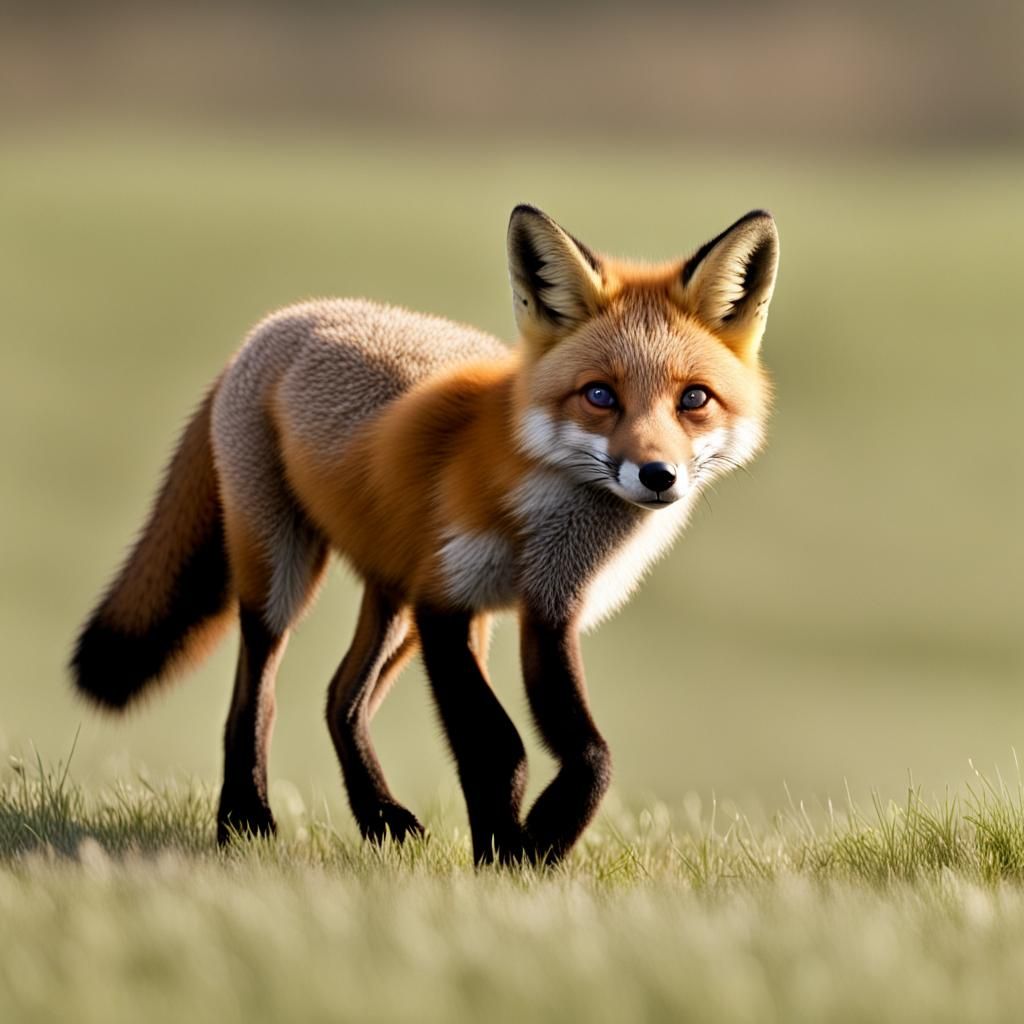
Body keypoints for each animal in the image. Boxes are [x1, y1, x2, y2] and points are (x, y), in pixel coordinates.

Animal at [70, 205, 779, 864]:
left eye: (693, 399)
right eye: (600, 395)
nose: (657, 476)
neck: (537, 513)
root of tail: (280, 321)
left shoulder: (546, 610)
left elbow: (590, 753)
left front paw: (542, 837)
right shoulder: (448, 600)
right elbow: (497, 747)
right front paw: (505, 853)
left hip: (395, 599)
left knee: (341, 697)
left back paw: (379, 817)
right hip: (284, 571)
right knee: (257, 695)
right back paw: (245, 820)